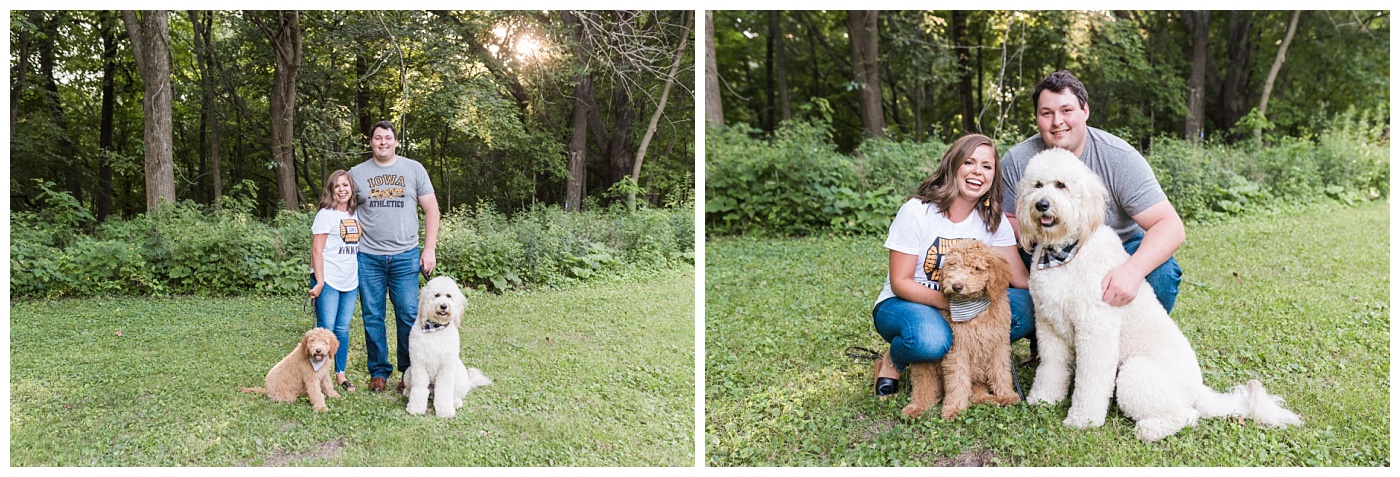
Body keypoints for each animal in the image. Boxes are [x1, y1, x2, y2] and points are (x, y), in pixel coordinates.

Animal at [406, 275, 492, 416]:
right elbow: (418, 387)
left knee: (455, 394)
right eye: (436, 295)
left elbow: (444, 390)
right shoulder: (418, 364)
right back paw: (407, 392)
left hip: (459, 377)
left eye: (448, 295)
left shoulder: (446, 366)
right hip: (408, 373)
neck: (435, 328)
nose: (443, 306)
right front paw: (415, 408)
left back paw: (455, 403)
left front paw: (445, 411)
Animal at [1019, 146, 1299, 439]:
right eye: (1037, 185)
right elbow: (1051, 366)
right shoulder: (1048, 325)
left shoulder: (1096, 329)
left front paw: (1083, 420)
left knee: (1187, 416)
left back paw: (1149, 430)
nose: (1041, 205)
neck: (1063, 253)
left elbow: (1091, 380)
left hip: (1135, 374)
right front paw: (1044, 398)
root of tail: (1198, 391)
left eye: (1061, 185)